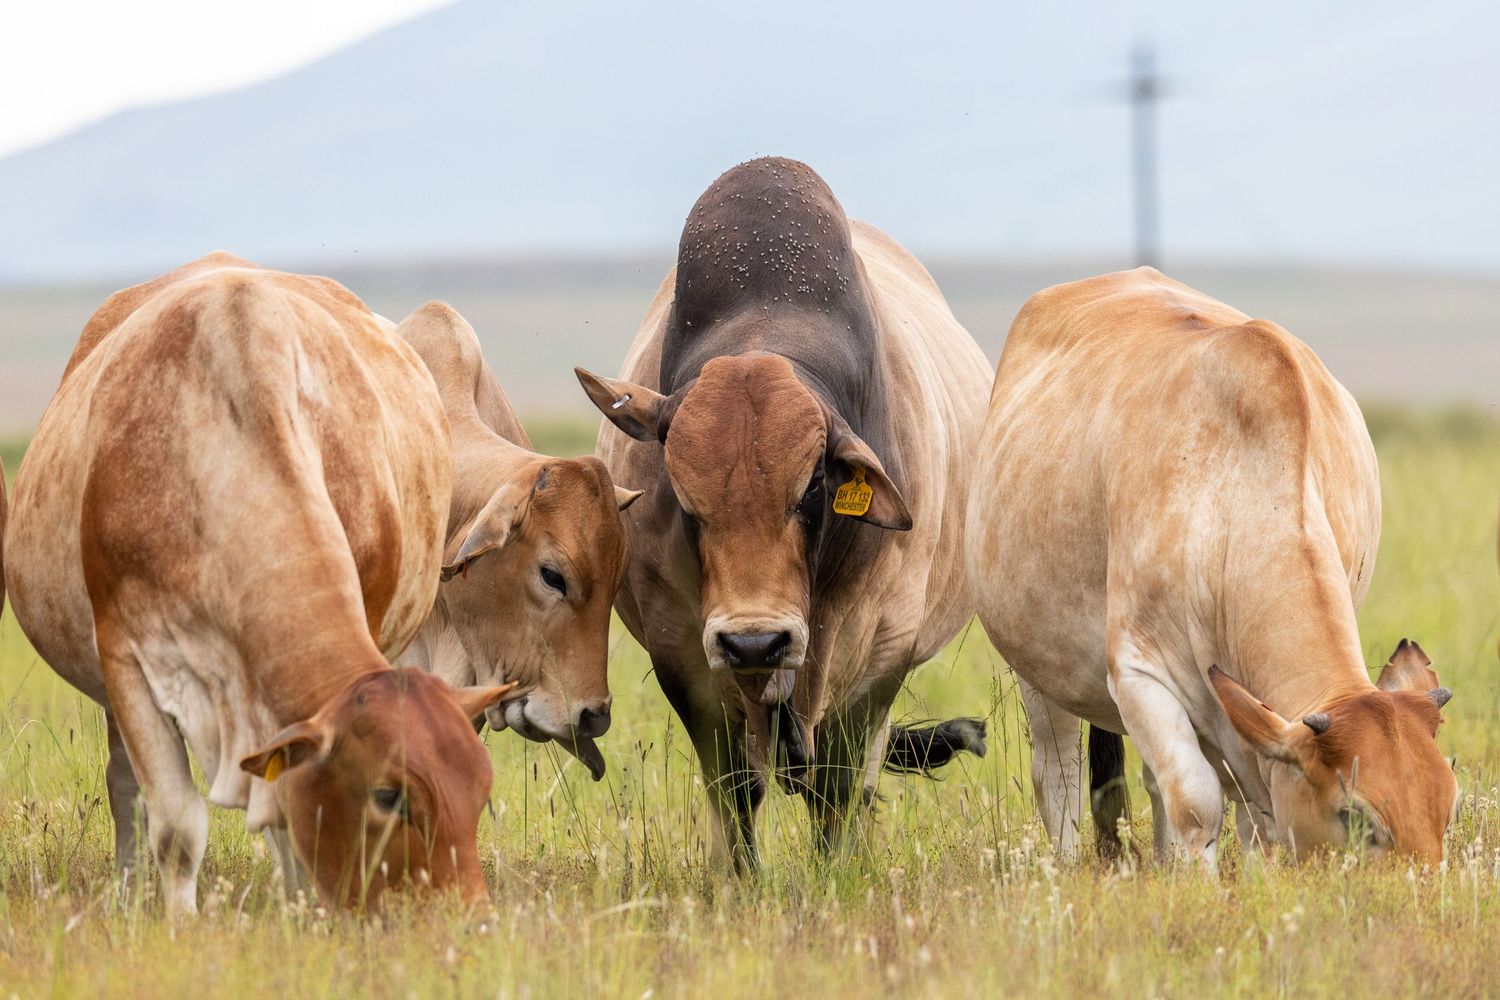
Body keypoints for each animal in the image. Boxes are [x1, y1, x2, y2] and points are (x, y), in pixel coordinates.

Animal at [3, 254, 517, 914]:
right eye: (388, 796)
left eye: (480, 791)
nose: (469, 917)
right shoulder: (127, 661)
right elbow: (175, 825)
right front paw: (180, 921)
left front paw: (302, 909)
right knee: (126, 790)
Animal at [576, 157, 991, 870]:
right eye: (684, 499)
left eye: (813, 487)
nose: (755, 641)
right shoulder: (680, 650)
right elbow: (736, 784)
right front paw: (741, 878)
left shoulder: (885, 646)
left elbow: (839, 781)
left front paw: (835, 875)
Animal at [965, 267, 1458, 867]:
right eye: (1355, 815)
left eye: (1450, 807)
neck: (1239, 489)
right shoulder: (1140, 673)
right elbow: (1197, 804)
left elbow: (1250, 818)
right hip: (1036, 670)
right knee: (1059, 774)